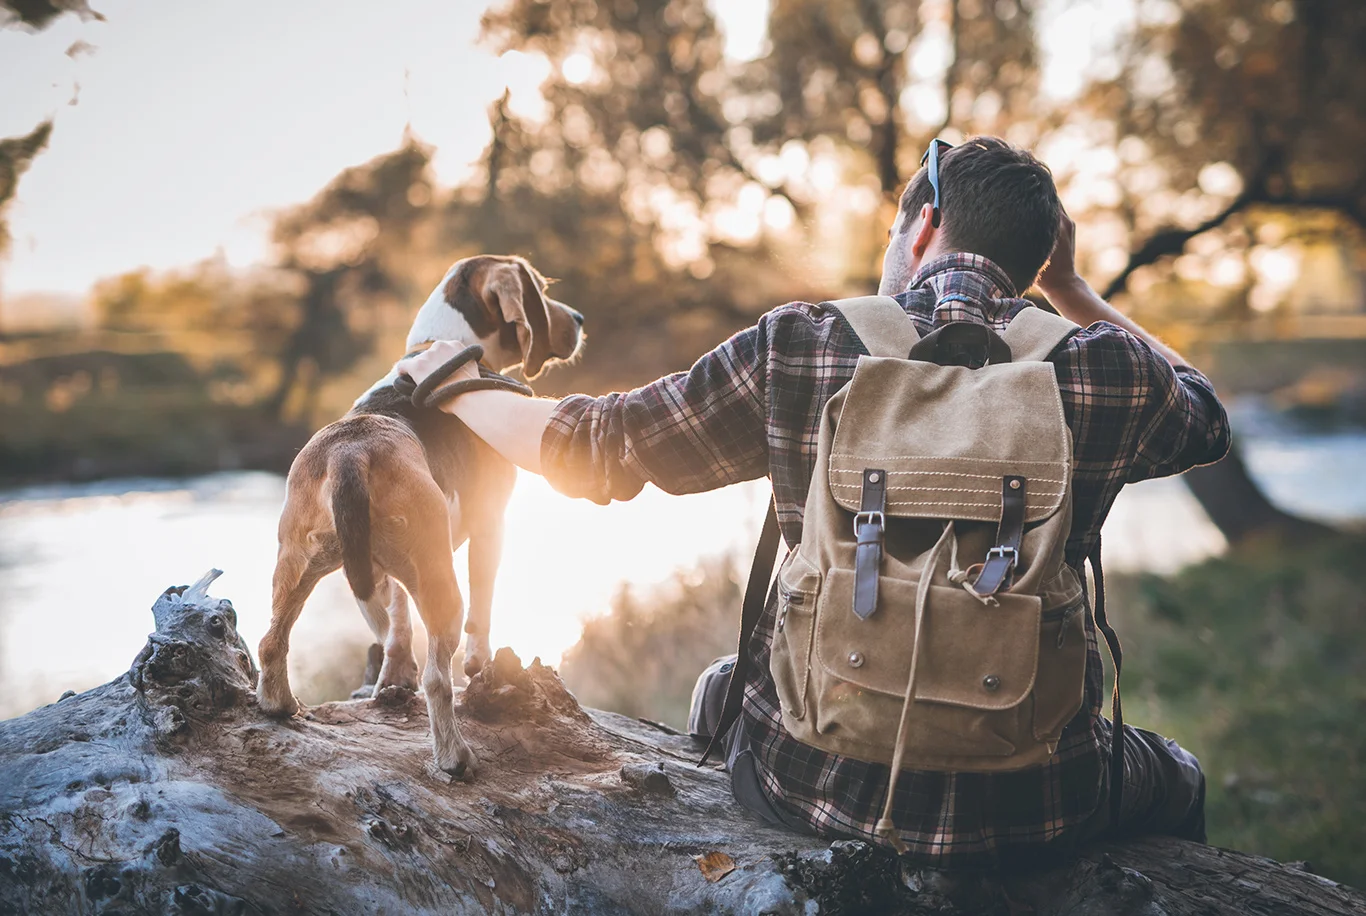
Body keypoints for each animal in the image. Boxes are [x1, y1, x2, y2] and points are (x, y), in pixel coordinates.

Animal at [256, 253, 581, 775]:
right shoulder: (492, 526)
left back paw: (279, 705)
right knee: (438, 678)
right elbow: (481, 613)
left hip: (300, 565)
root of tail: (351, 451)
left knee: (272, 641)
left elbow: (397, 626)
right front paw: (478, 665)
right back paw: (454, 757)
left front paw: (392, 678)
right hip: (440, 582)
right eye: (541, 289)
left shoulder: (389, 576)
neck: (441, 343)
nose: (579, 319)